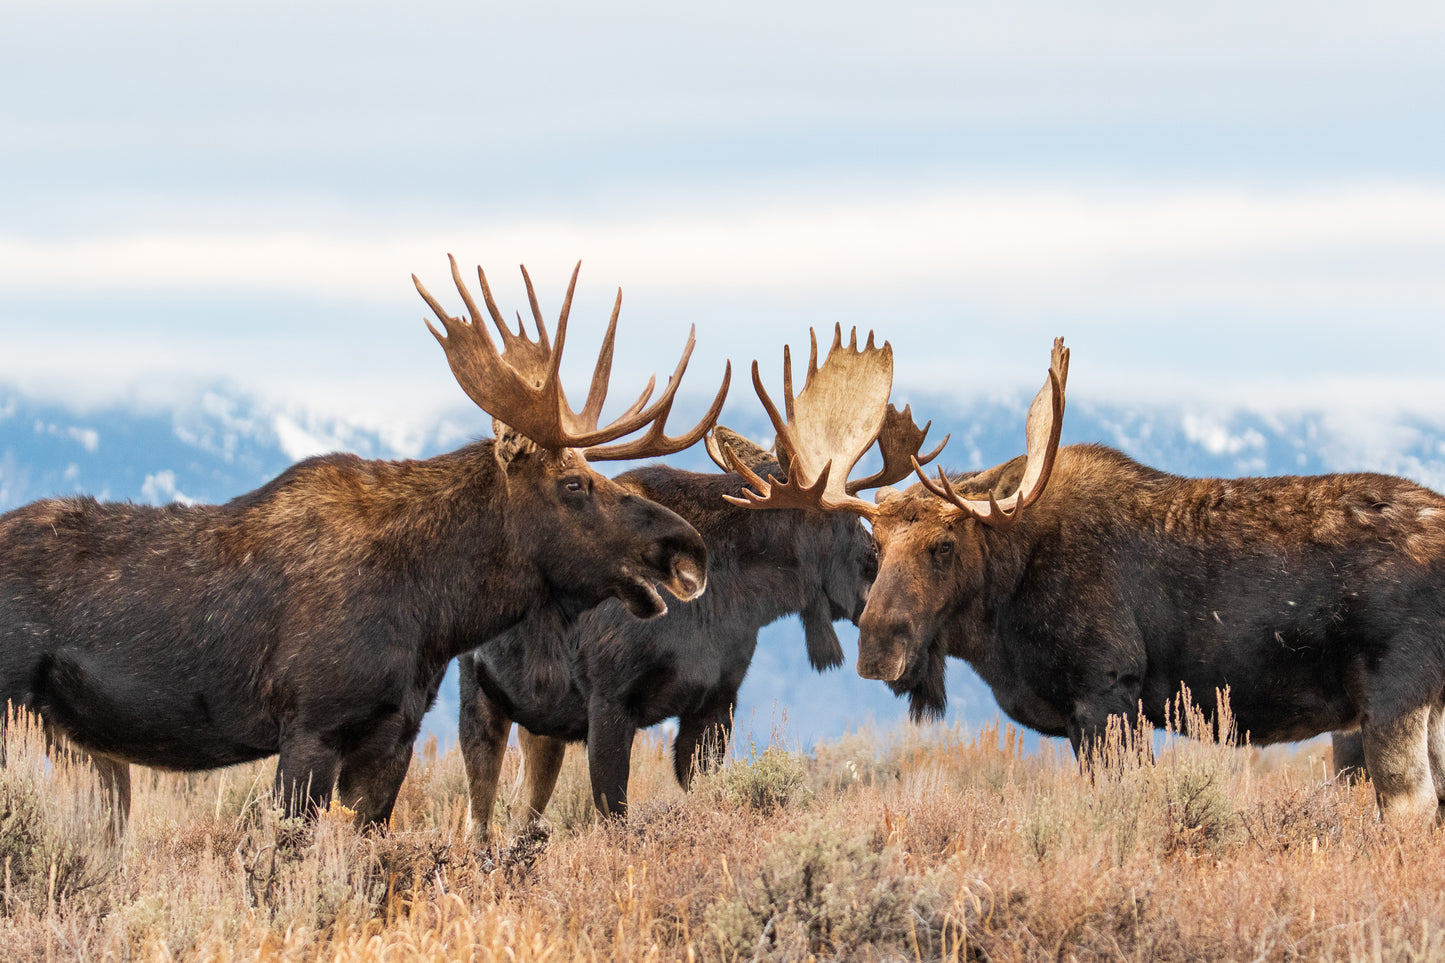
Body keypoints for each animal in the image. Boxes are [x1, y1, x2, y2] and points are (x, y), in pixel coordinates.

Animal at [456, 326, 942, 827]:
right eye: (847, 523)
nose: (881, 582)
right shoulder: (609, 699)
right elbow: (614, 813)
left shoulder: (717, 700)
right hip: (479, 696)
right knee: (479, 816)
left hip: (542, 724)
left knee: (519, 811)